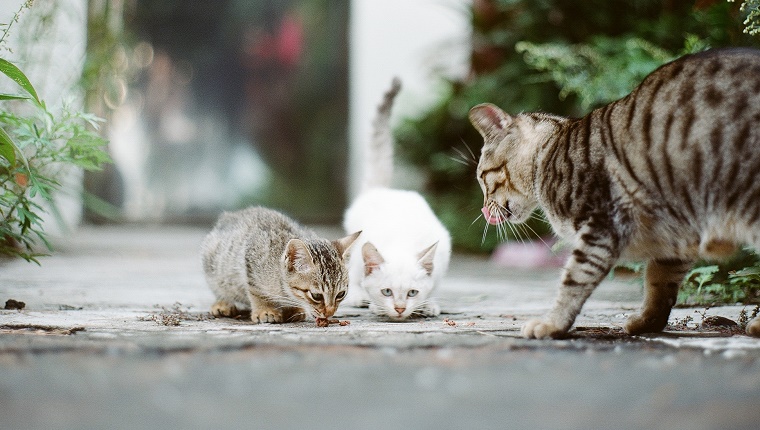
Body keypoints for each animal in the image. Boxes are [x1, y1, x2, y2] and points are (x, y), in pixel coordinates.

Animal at [199, 207, 360, 324]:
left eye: (341, 294)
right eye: (316, 296)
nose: (330, 313)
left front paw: (295, 309)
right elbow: (257, 292)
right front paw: (265, 310)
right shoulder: (250, 259)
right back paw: (222, 303)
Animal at [470, 47, 760, 340]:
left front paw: (552, 323)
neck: (549, 153)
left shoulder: (604, 221)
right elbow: (658, 283)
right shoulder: (673, 239)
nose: (484, 209)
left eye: (482, 178)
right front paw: (648, 321)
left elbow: (575, 278)